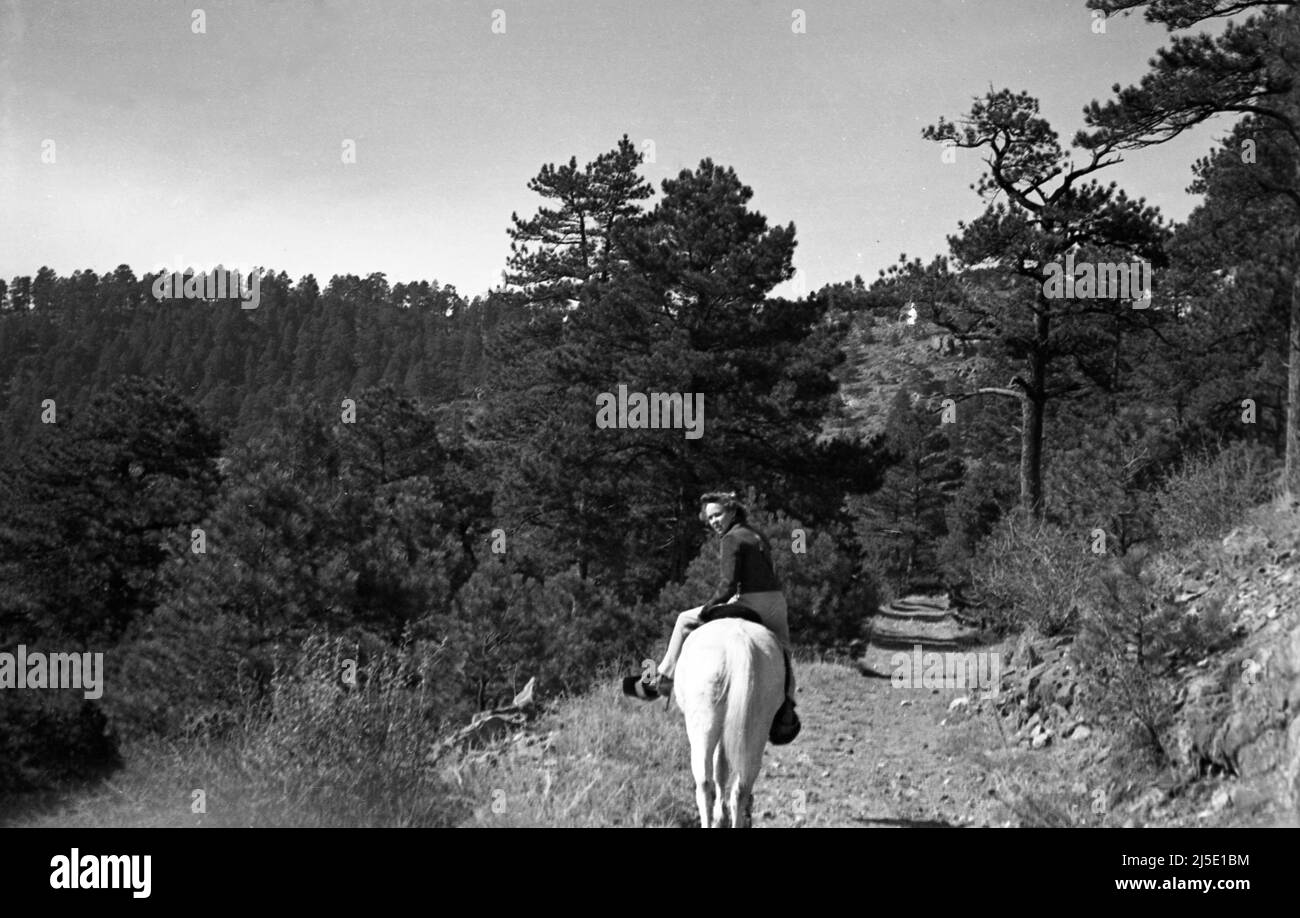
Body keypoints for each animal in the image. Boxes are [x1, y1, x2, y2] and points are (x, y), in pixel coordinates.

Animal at [676, 613, 785, 821]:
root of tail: (738, 640)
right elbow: (722, 767)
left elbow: (719, 768)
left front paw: (720, 814)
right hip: (757, 728)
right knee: (742, 786)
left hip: (702, 726)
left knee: (704, 782)